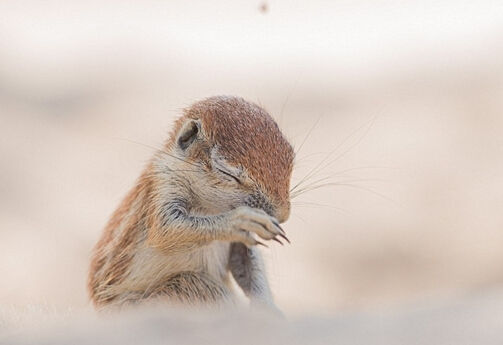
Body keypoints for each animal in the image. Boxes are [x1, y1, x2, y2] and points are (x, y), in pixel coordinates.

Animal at [88, 96, 296, 310]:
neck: (211, 208)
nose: (283, 215)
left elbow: (247, 260)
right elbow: (165, 230)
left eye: (291, 157)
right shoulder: (162, 187)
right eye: (227, 172)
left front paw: (268, 308)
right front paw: (240, 220)